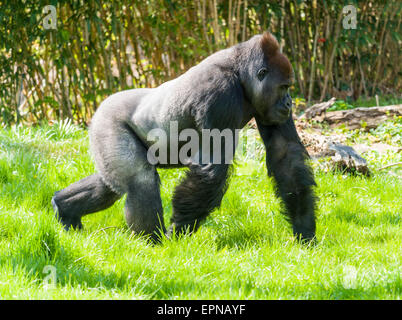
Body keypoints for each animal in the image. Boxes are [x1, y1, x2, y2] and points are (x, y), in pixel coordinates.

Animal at [51, 31, 318, 242]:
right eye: (284, 87)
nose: (289, 103)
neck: (240, 73)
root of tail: (99, 107)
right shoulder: (219, 93)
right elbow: (212, 169)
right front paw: (178, 231)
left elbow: (285, 154)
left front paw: (304, 230)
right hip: (108, 122)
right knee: (139, 180)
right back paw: (152, 244)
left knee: (109, 186)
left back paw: (64, 209)